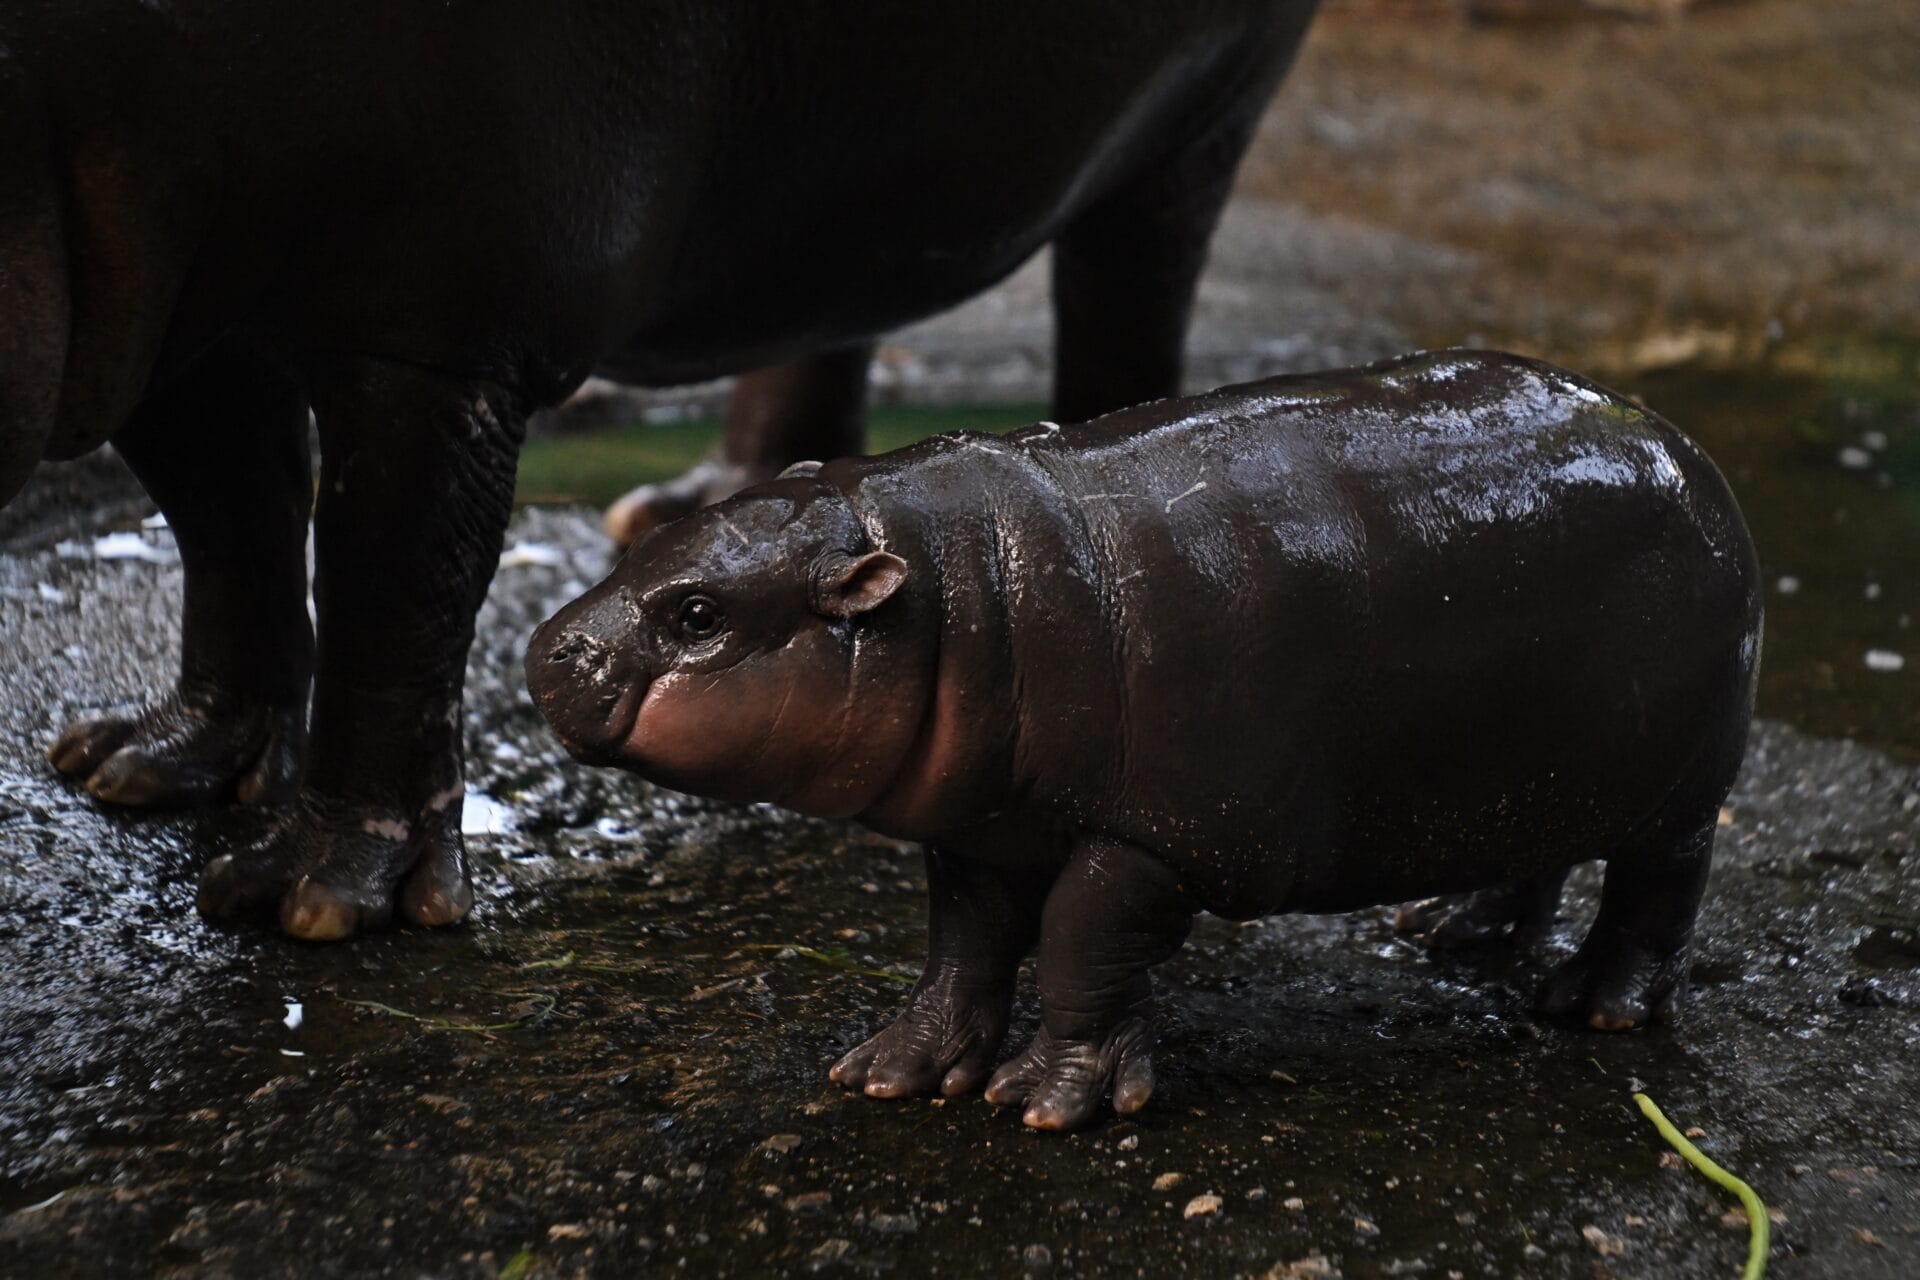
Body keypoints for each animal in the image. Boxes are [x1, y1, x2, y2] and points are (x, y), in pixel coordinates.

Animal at [0, 2, 1320, 940]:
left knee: (1128, 291)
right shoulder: (162, 313)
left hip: (1199, 118)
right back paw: (698, 504)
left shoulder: (438, 330)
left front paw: (311, 900)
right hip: (836, 177)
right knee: (831, 294)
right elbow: (232, 524)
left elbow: (390, 584)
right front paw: (145, 764)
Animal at [522, 347, 1758, 1128]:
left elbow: (1077, 937)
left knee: (1660, 886)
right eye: (658, 534)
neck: (966, 593)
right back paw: (1453, 931)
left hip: (1678, 785)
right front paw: (892, 1070)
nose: (547, 651)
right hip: (1531, 757)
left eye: (697, 614)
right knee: (1536, 850)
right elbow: (962, 946)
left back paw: (1593, 1005)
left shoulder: (1160, 838)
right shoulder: (983, 826)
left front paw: (1044, 1101)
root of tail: (1680, 443)